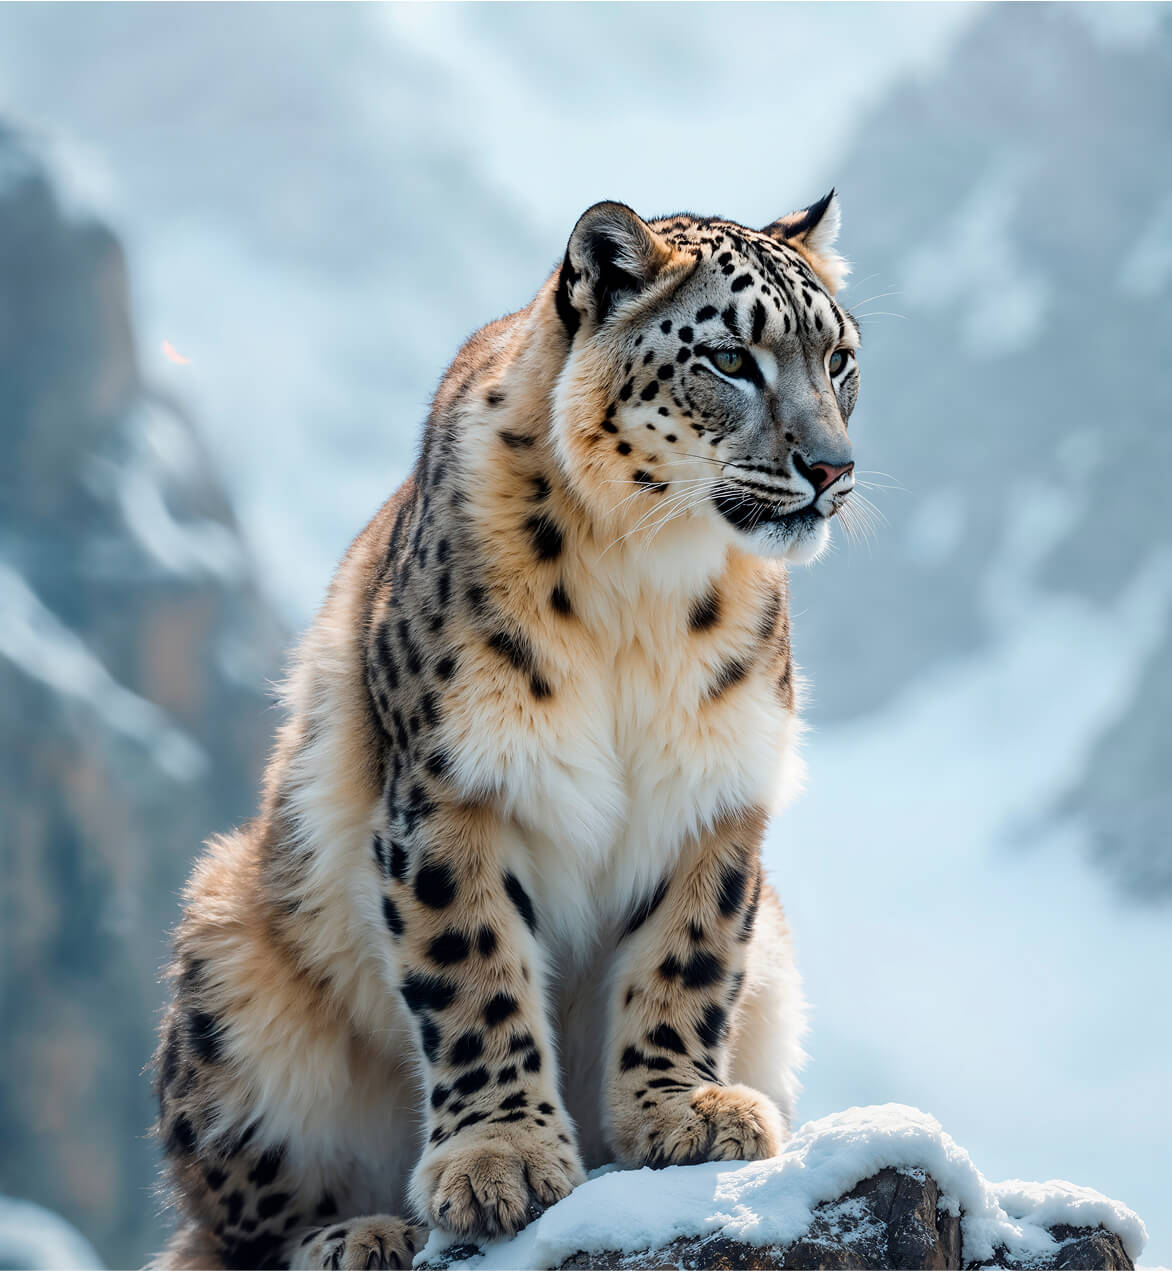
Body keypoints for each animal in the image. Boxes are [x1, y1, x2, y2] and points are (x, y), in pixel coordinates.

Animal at [151, 191, 861, 1269]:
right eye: (731, 359)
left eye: (840, 359)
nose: (831, 465)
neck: (645, 588)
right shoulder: (453, 787)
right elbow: (473, 969)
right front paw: (502, 1161)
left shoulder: (715, 789)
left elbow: (688, 953)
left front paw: (682, 1111)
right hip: (227, 953)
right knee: (228, 1230)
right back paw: (361, 1232)